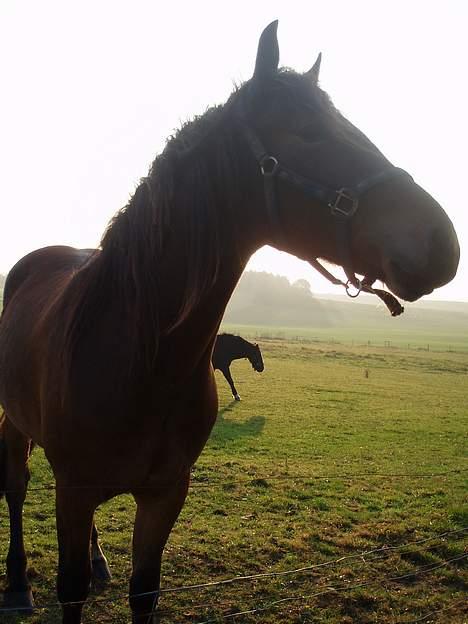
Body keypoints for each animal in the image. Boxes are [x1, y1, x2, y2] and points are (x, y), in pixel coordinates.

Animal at [0, 20, 458, 624]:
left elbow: (143, 590)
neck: (139, 357)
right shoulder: (74, 490)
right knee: (15, 486)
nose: (443, 244)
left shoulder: (164, 493)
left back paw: (98, 562)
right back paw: (16, 583)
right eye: (308, 131)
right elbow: (69, 588)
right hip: (16, 428)